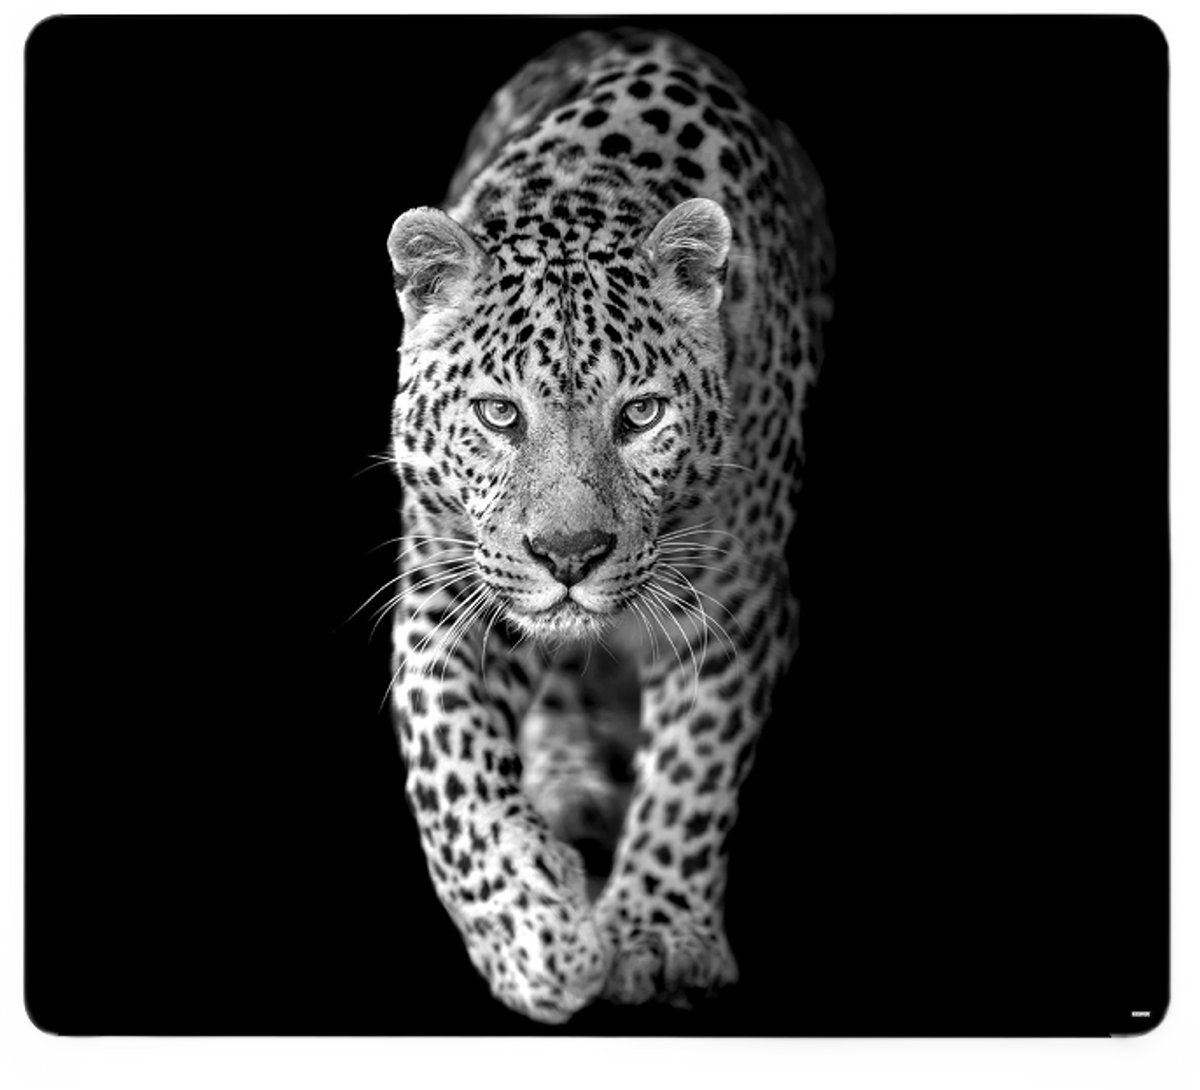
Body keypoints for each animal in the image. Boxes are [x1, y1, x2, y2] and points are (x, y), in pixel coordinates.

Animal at [383, 27, 833, 1024]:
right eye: (498, 414)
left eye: (640, 415)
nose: (569, 556)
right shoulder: (443, 589)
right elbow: (453, 770)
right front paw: (534, 938)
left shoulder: (738, 602)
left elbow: (695, 771)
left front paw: (656, 933)